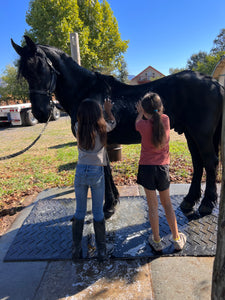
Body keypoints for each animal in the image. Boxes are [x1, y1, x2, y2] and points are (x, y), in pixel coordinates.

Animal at [11, 36, 223, 217]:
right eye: (25, 74)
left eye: (41, 67)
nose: (40, 112)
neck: (86, 92)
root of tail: (213, 83)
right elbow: (106, 169)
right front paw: (113, 201)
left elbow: (103, 171)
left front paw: (108, 206)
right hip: (190, 133)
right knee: (198, 162)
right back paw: (189, 201)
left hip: (201, 134)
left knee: (210, 162)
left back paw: (206, 204)